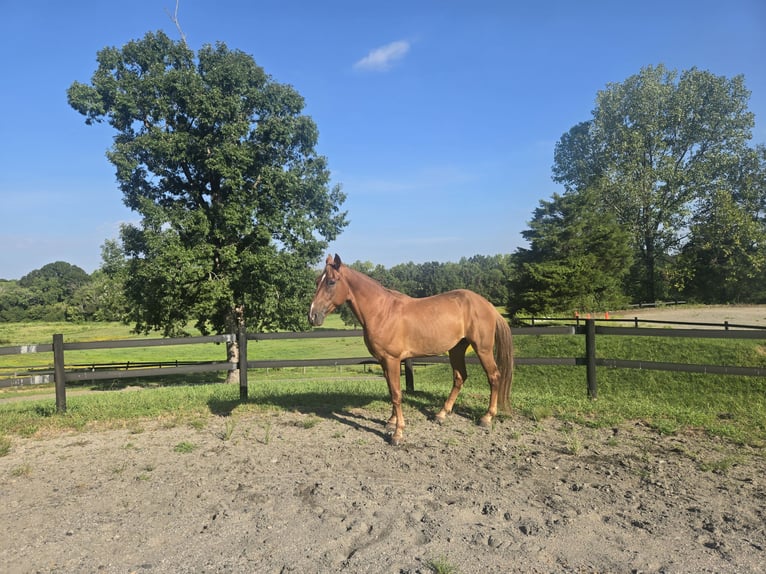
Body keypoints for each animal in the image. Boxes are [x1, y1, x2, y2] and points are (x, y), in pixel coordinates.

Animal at [308, 254, 513, 445]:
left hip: (483, 349)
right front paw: (391, 422)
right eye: (317, 281)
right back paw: (441, 414)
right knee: (459, 377)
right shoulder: (384, 361)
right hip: (456, 349)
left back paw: (486, 417)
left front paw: (397, 433)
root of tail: (487, 305)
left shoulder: (392, 359)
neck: (382, 312)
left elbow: (397, 394)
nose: (312, 316)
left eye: (331, 281)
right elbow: (391, 391)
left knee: (494, 376)